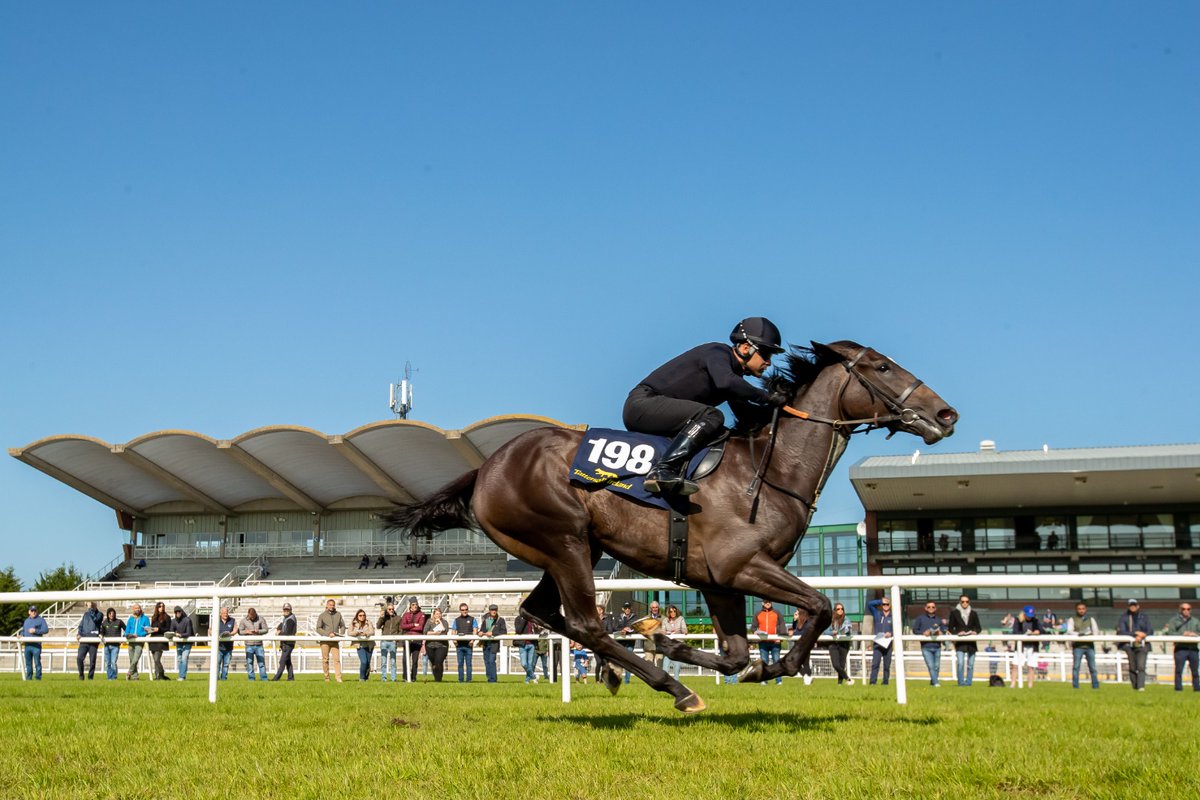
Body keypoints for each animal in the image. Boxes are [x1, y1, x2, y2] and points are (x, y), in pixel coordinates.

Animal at [384, 343, 955, 714]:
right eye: (882, 366)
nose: (946, 414)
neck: (767, 472)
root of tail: (487, 467)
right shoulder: (741, 566)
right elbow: (814, 608)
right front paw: (769, 666)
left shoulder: (719, 581)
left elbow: (736, 654)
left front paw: (672, 642)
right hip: (564, 541)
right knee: (586, 622)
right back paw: (672, 687)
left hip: (575, 549)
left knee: (542, 612)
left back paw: (623, 665)